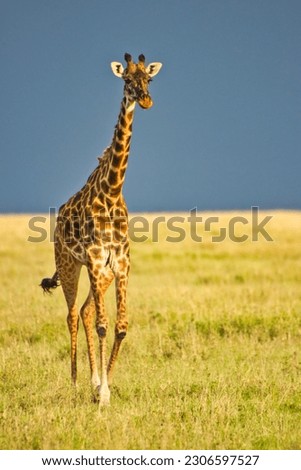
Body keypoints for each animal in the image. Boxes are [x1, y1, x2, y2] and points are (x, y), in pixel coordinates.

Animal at [40, 52, 162, 404]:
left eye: (149, 79)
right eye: (127, 80)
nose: (145, 101)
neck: (111, 192)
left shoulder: (119, 265)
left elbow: (119, 326)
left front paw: (103, 387)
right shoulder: (94, 260)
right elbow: (104, 326)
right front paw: (103, 395)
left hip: (101, 275)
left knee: (84, 311)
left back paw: (92, 381)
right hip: (69, 265)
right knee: (71, 314)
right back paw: (74, 383)